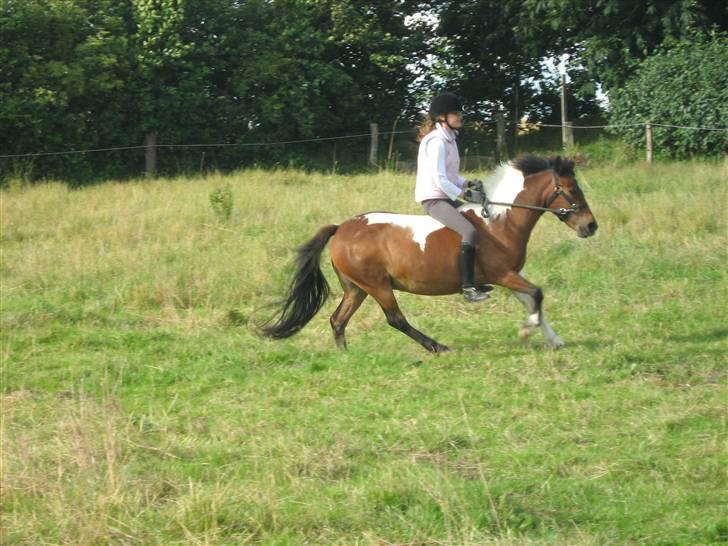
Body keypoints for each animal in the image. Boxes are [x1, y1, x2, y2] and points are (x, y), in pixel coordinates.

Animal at [262, 153, 596, 350]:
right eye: (572, 191)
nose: (591, 227)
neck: (501, 222)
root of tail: (341, 228)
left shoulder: (512, 275)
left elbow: (533, 301)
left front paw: (554, 339)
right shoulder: (503, 274)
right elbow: (537, 295)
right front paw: (527, 331)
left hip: (356, 287)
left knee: (338, 320)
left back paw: (345, 356)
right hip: (377, 285)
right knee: (395, 319)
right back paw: (437, 347)